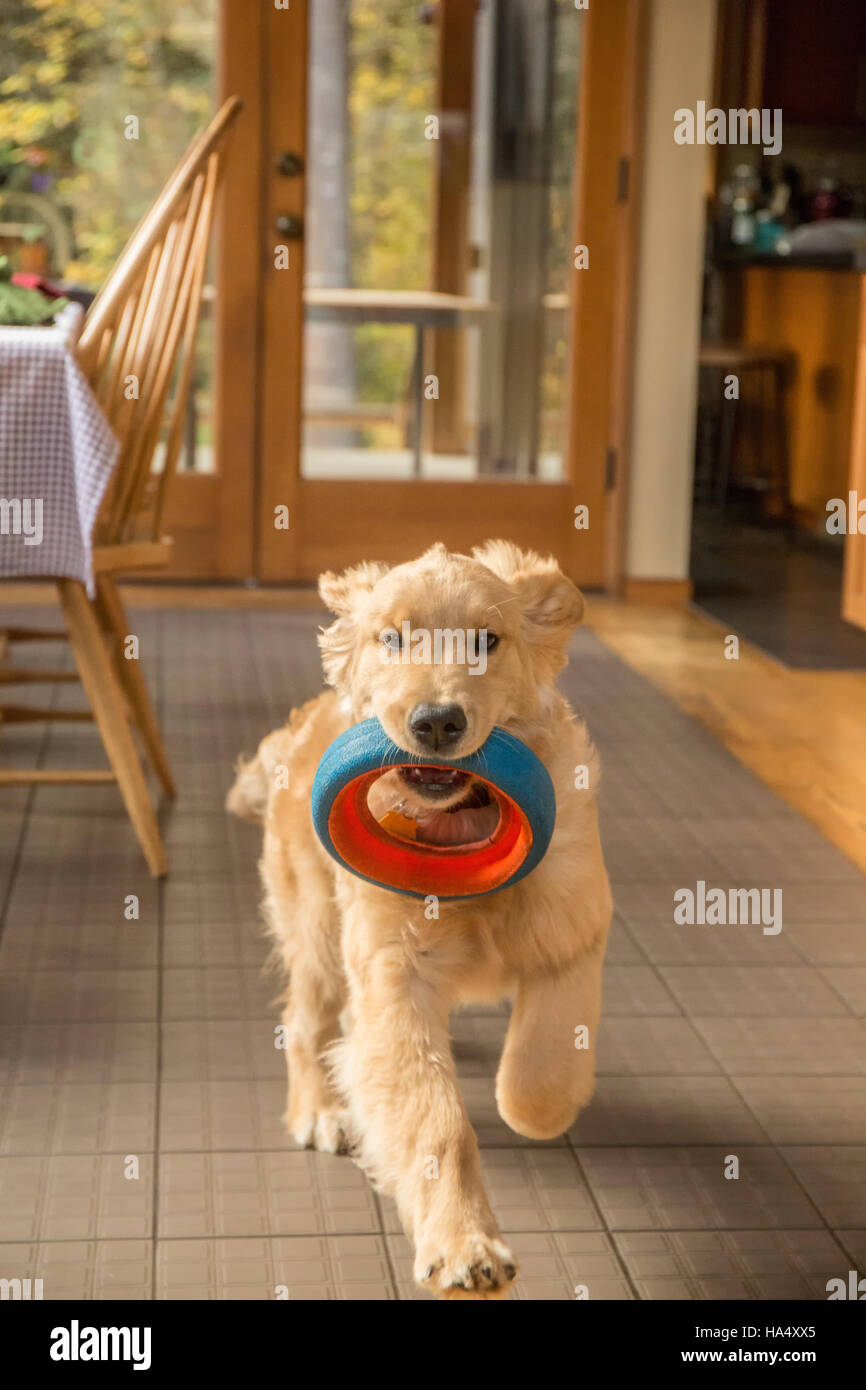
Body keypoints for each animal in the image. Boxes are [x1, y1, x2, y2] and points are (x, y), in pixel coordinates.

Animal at [226, 536, 614, 1295]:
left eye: (487, 640)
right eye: (392, 638)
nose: (437, 722)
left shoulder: (574, 931)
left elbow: (544, 1065)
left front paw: (529, 1107)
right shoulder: (392, 973)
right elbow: (437, 1120)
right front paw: (464, 1244)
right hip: (318, 930)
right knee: (307, 1022)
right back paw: (320, 1110)